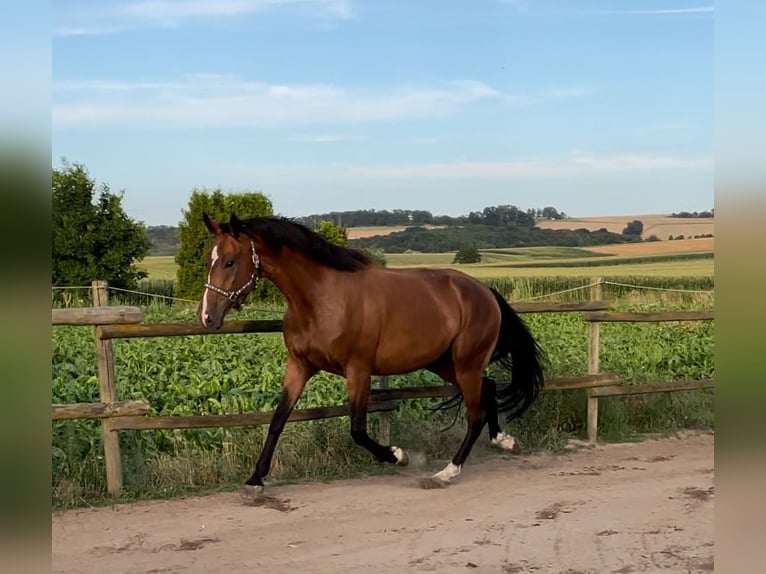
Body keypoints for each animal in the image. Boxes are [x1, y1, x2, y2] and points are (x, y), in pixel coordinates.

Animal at [198, 214, 544, 502]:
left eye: (229, 262)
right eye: (210, 260)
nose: (207, 317)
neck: (322, 298)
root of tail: (485, 291)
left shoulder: (358, 370)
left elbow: (358, 430)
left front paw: (398, 455)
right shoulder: (299, 365)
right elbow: (278, 419)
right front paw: (255, 481)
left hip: (465, 363)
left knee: (475, 413)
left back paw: (446, 473)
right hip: (446, 363)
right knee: (489, 388)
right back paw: (505, 441)